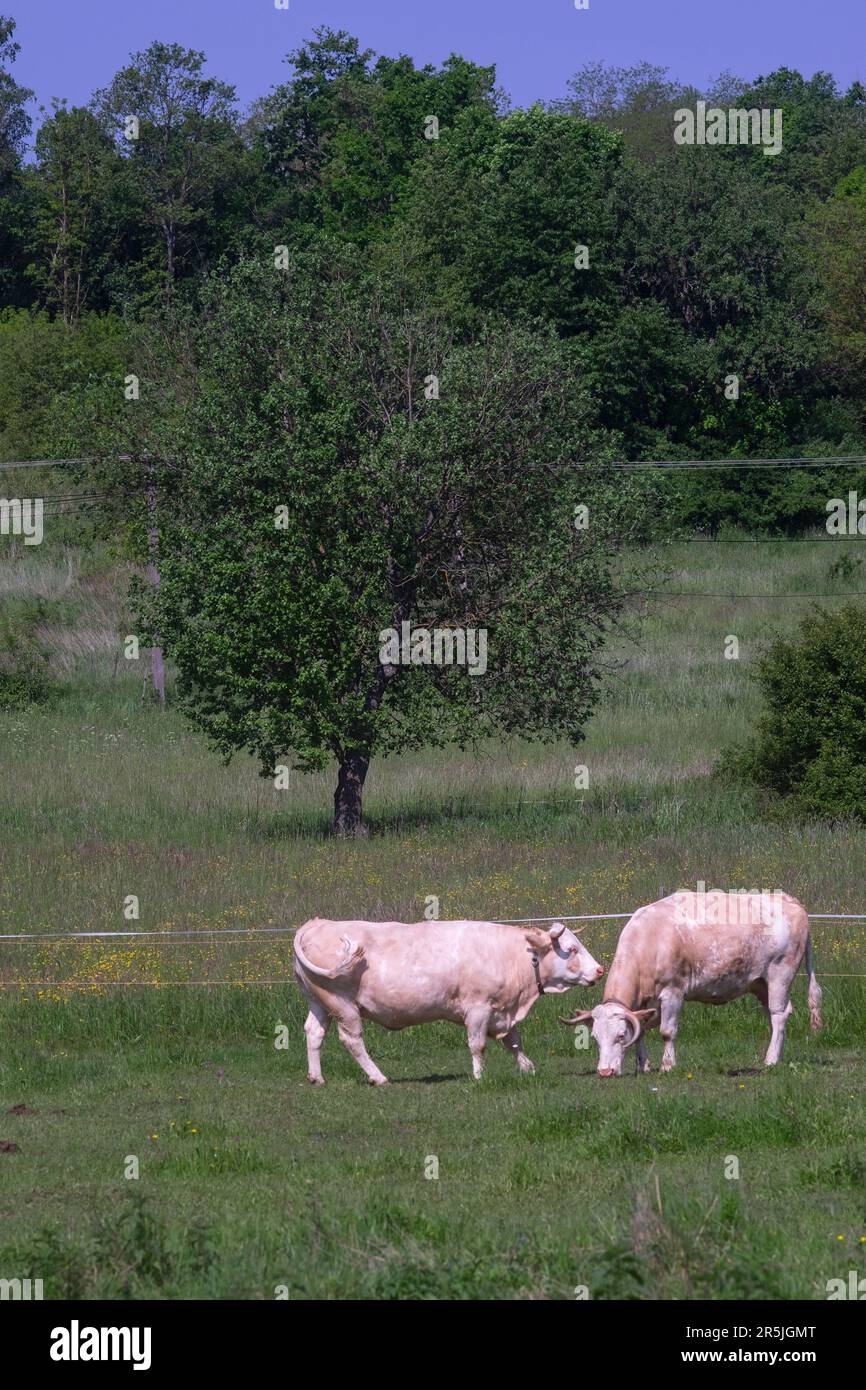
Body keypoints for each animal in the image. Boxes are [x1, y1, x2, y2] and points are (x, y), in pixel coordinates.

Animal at [291, 917, 603, 1089]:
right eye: (572, 949)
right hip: (343, 1005)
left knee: (314, 1033)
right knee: (352, 1040)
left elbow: (514, 1041)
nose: (600, 970)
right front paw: (479, 1076)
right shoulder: (478, 1008)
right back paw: (378, 1077)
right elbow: (477, 1045)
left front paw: (527, 1068)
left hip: (320, 1002)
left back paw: (316, 1077)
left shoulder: (501, 1011)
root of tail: (316, 924)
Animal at [558, 889, 822, 1073]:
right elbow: (640, 1030)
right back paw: (778, 1055)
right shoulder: (643, 1004)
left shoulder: (673, 991)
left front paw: (667, 1065)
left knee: (779, 1015)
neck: (649, 940)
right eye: (595, 1038)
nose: (604, 1071)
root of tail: (790, 900)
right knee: (776, 1015)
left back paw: (770, 1060)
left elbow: (667, 1031)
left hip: (780, 974)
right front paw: (643, 1065)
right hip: (760, 983)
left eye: (620, 1036)